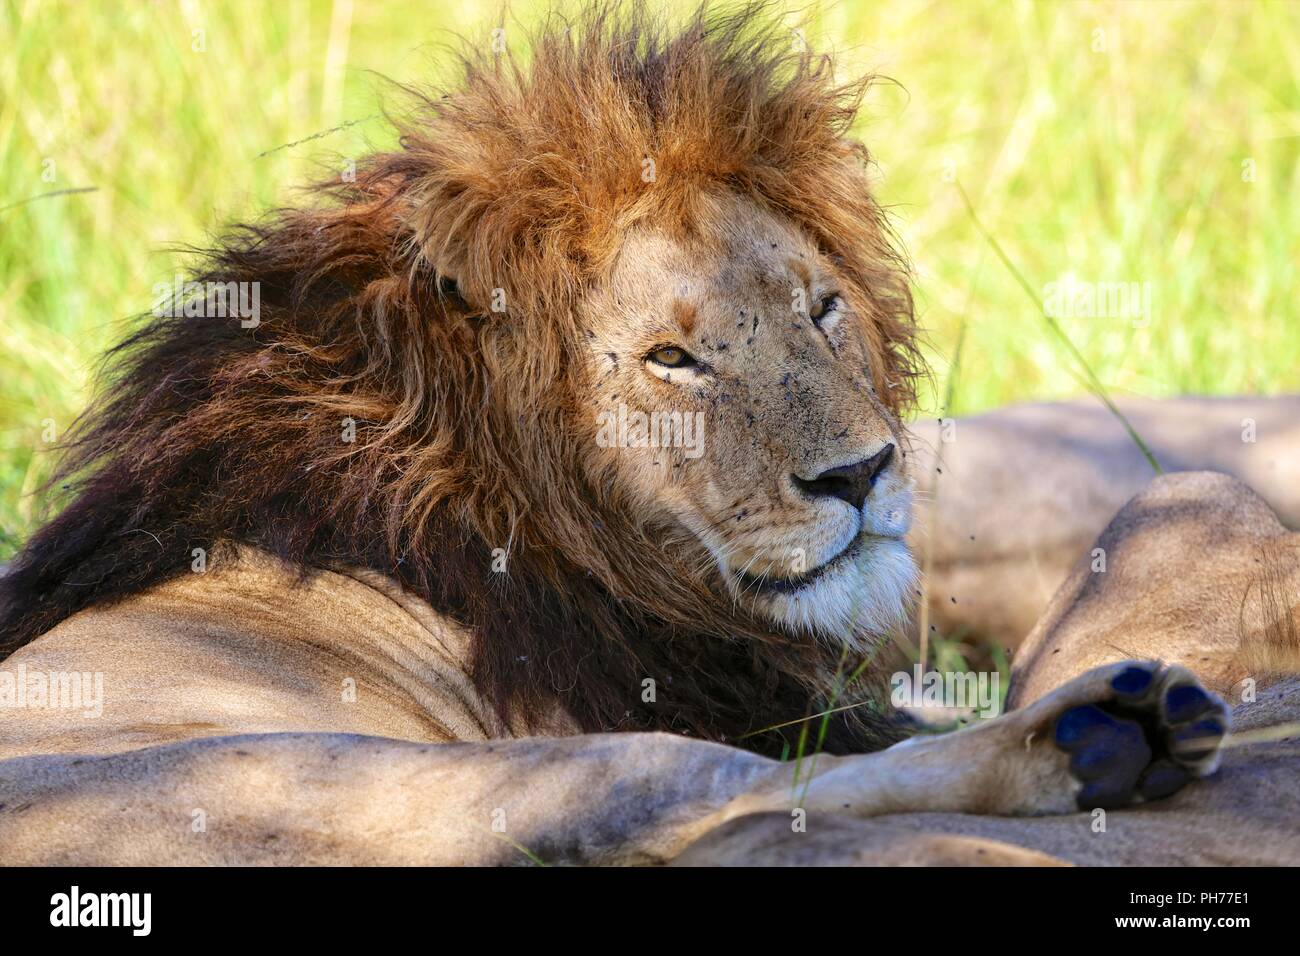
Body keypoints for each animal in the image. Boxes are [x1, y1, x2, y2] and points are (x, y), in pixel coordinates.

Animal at [0, 3, 1293, 866]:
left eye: (821, 308)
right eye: (674, 358)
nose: (863, 471)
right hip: (424, 773)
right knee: (758, 788)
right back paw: (1100, 732)